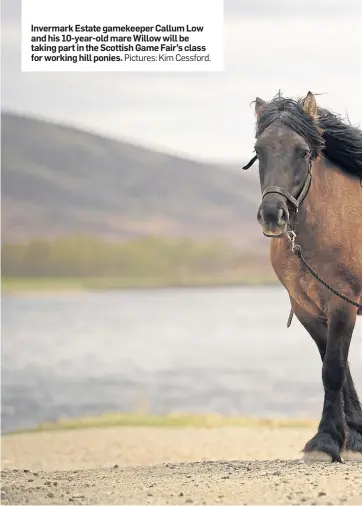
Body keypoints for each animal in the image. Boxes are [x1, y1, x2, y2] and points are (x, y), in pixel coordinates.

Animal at [245, 91, 360, 462]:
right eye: (259, 151)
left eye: (303, 152)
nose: (273, 215)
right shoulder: (308, 307)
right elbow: (337, 367)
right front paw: (351, 439)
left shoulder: (342, 304)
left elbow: (333, 369)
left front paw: (326, 442)